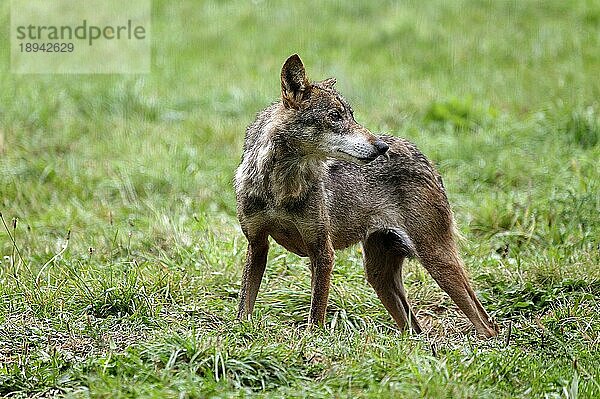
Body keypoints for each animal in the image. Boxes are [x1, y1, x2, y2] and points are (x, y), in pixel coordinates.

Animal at [234, 54, 496, 340]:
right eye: (335, 116)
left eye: (351, 115)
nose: (382, 147)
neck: (279, 187)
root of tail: (424, 157)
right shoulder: (257, 245)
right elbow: (244, 307)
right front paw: (239, 333)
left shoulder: (322, 252)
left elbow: (316, 315)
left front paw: (312, 341)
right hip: (379, 277)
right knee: (414, 328)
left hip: (436, 260)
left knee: (486, 323)